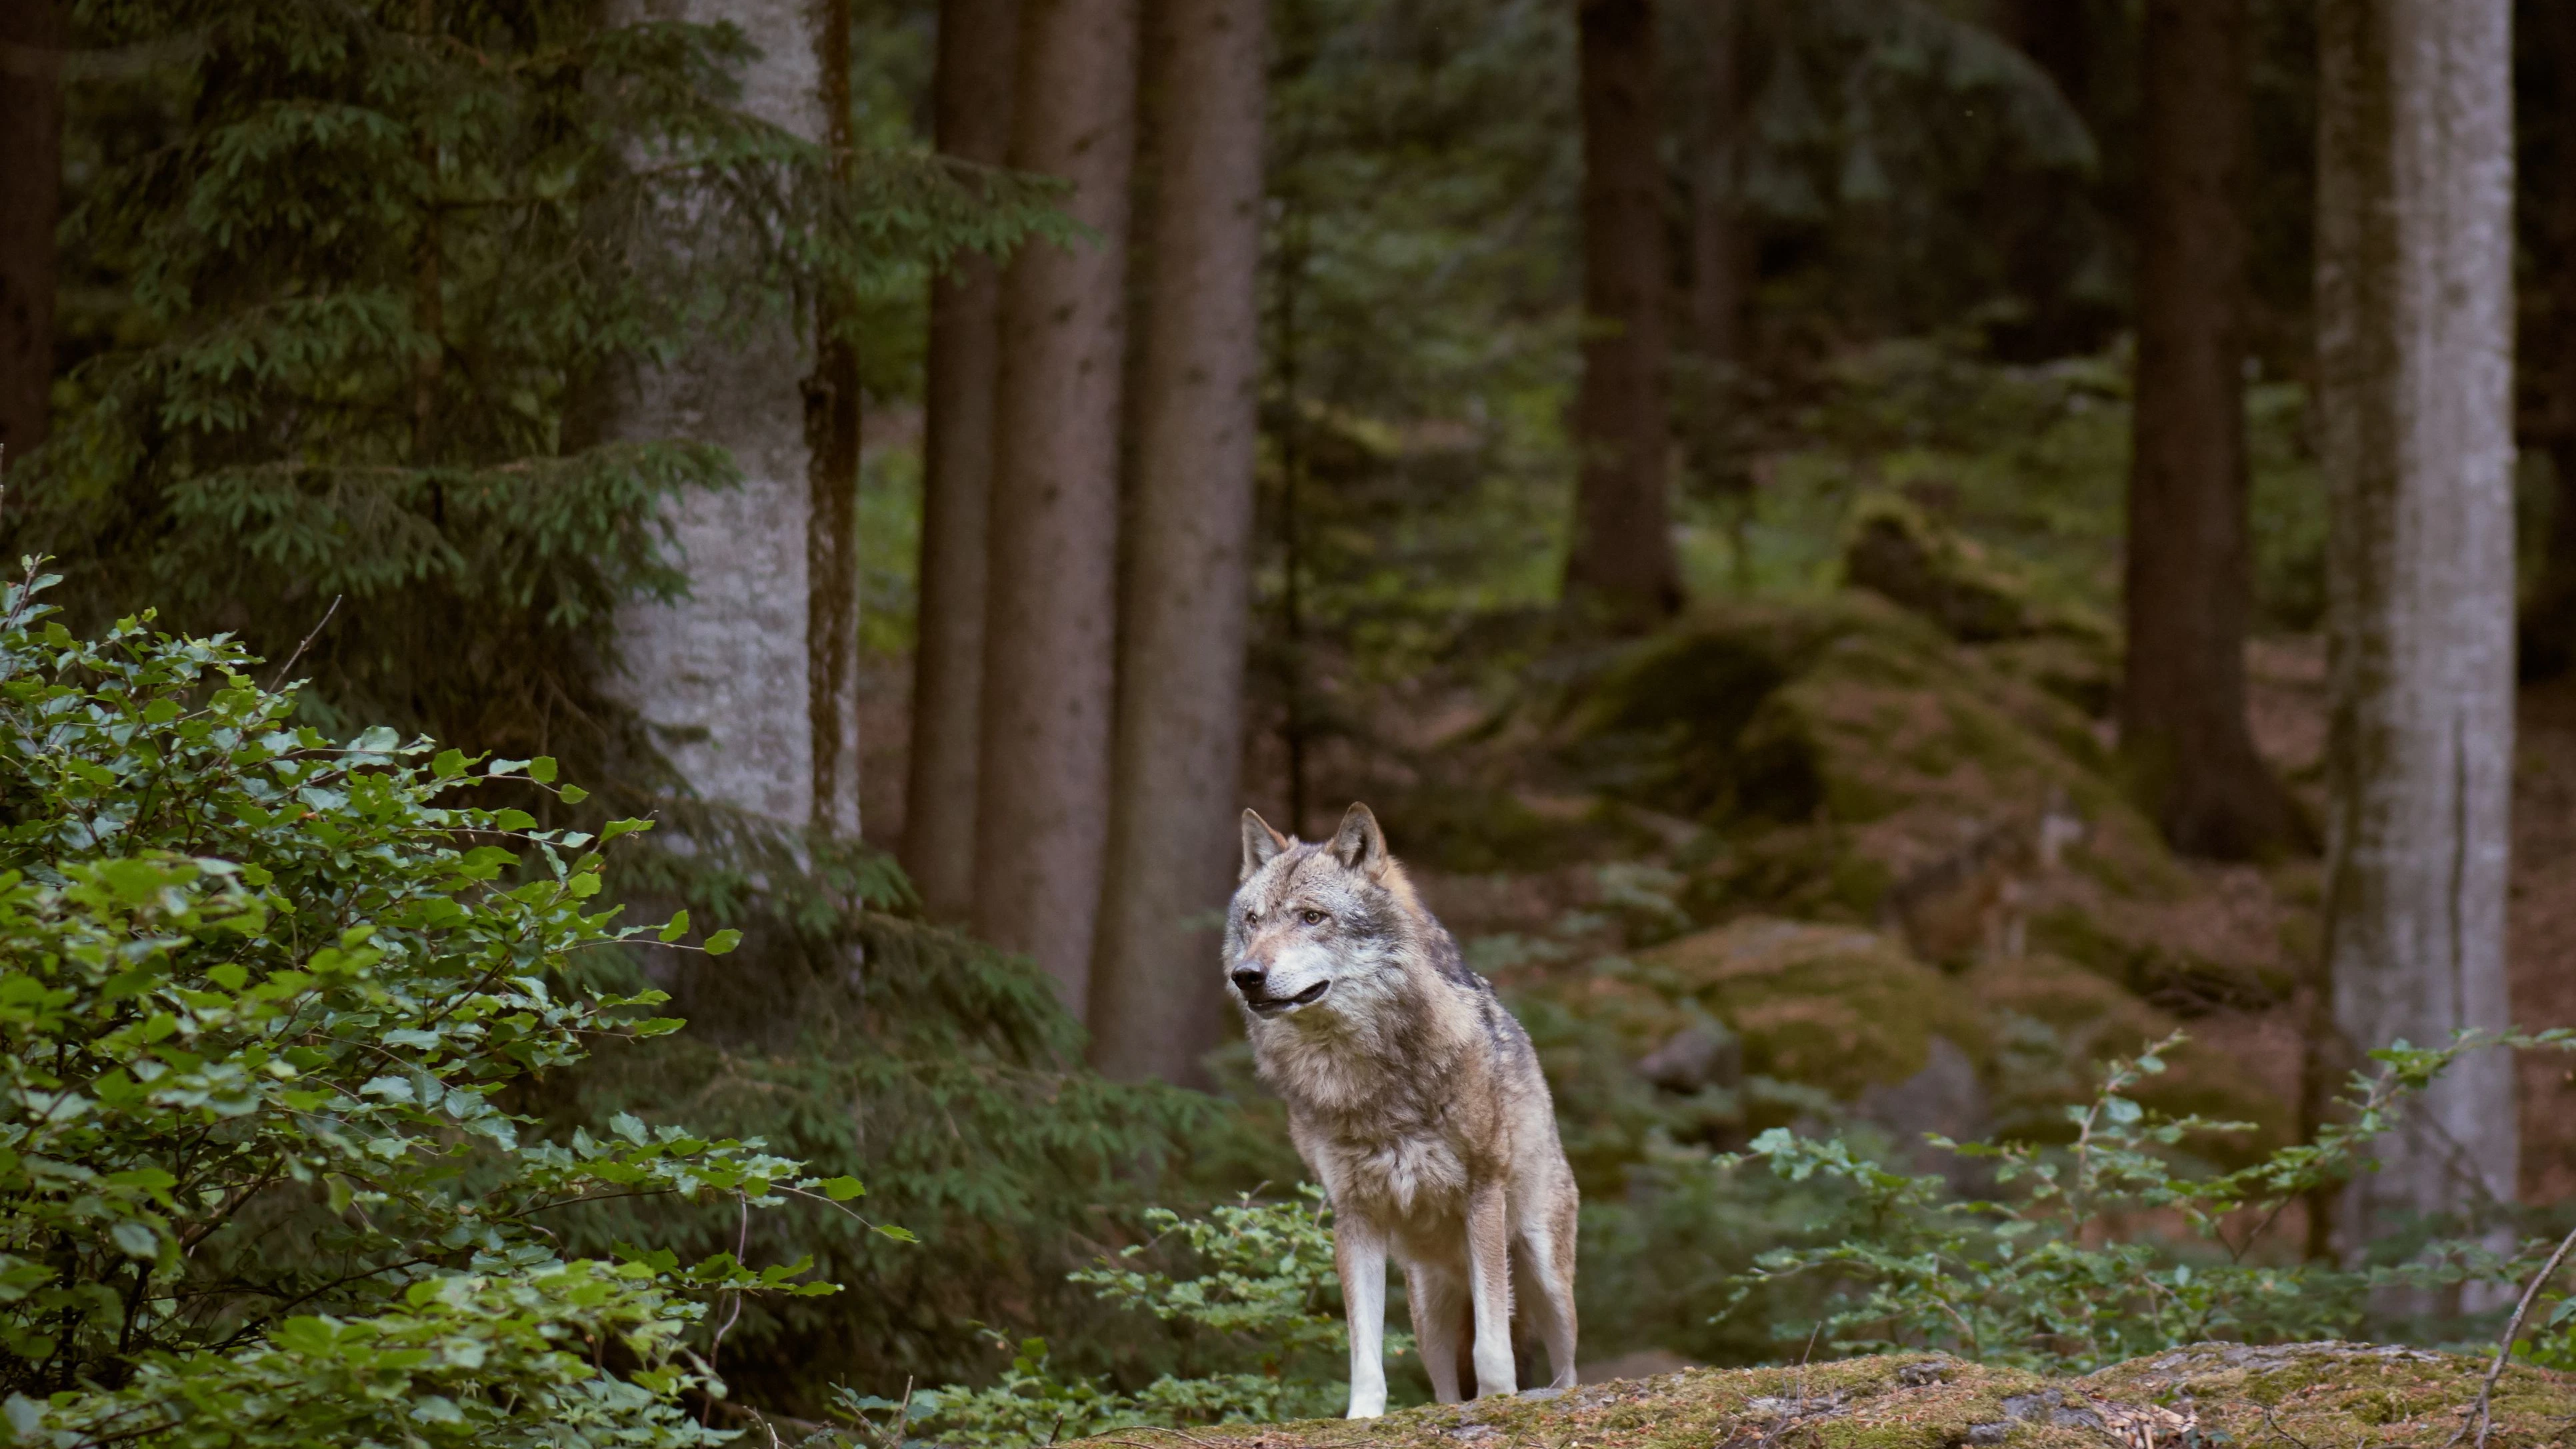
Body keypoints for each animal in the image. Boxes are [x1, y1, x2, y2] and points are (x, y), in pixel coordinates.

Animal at [1226, 802, 1579, 1419]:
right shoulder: (1354, 1214)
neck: (1364, 1082)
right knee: (1442, 1388)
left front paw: (1498, 1399)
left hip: (1544, 1277)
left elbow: (1493, 1345)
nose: (1246, 975)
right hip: (1428, 1314)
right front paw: (1363, 1417)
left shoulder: (1483, 1191)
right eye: (1253, 919)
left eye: (1312, 917)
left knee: (1569, 1369)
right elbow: (1364, 1350)